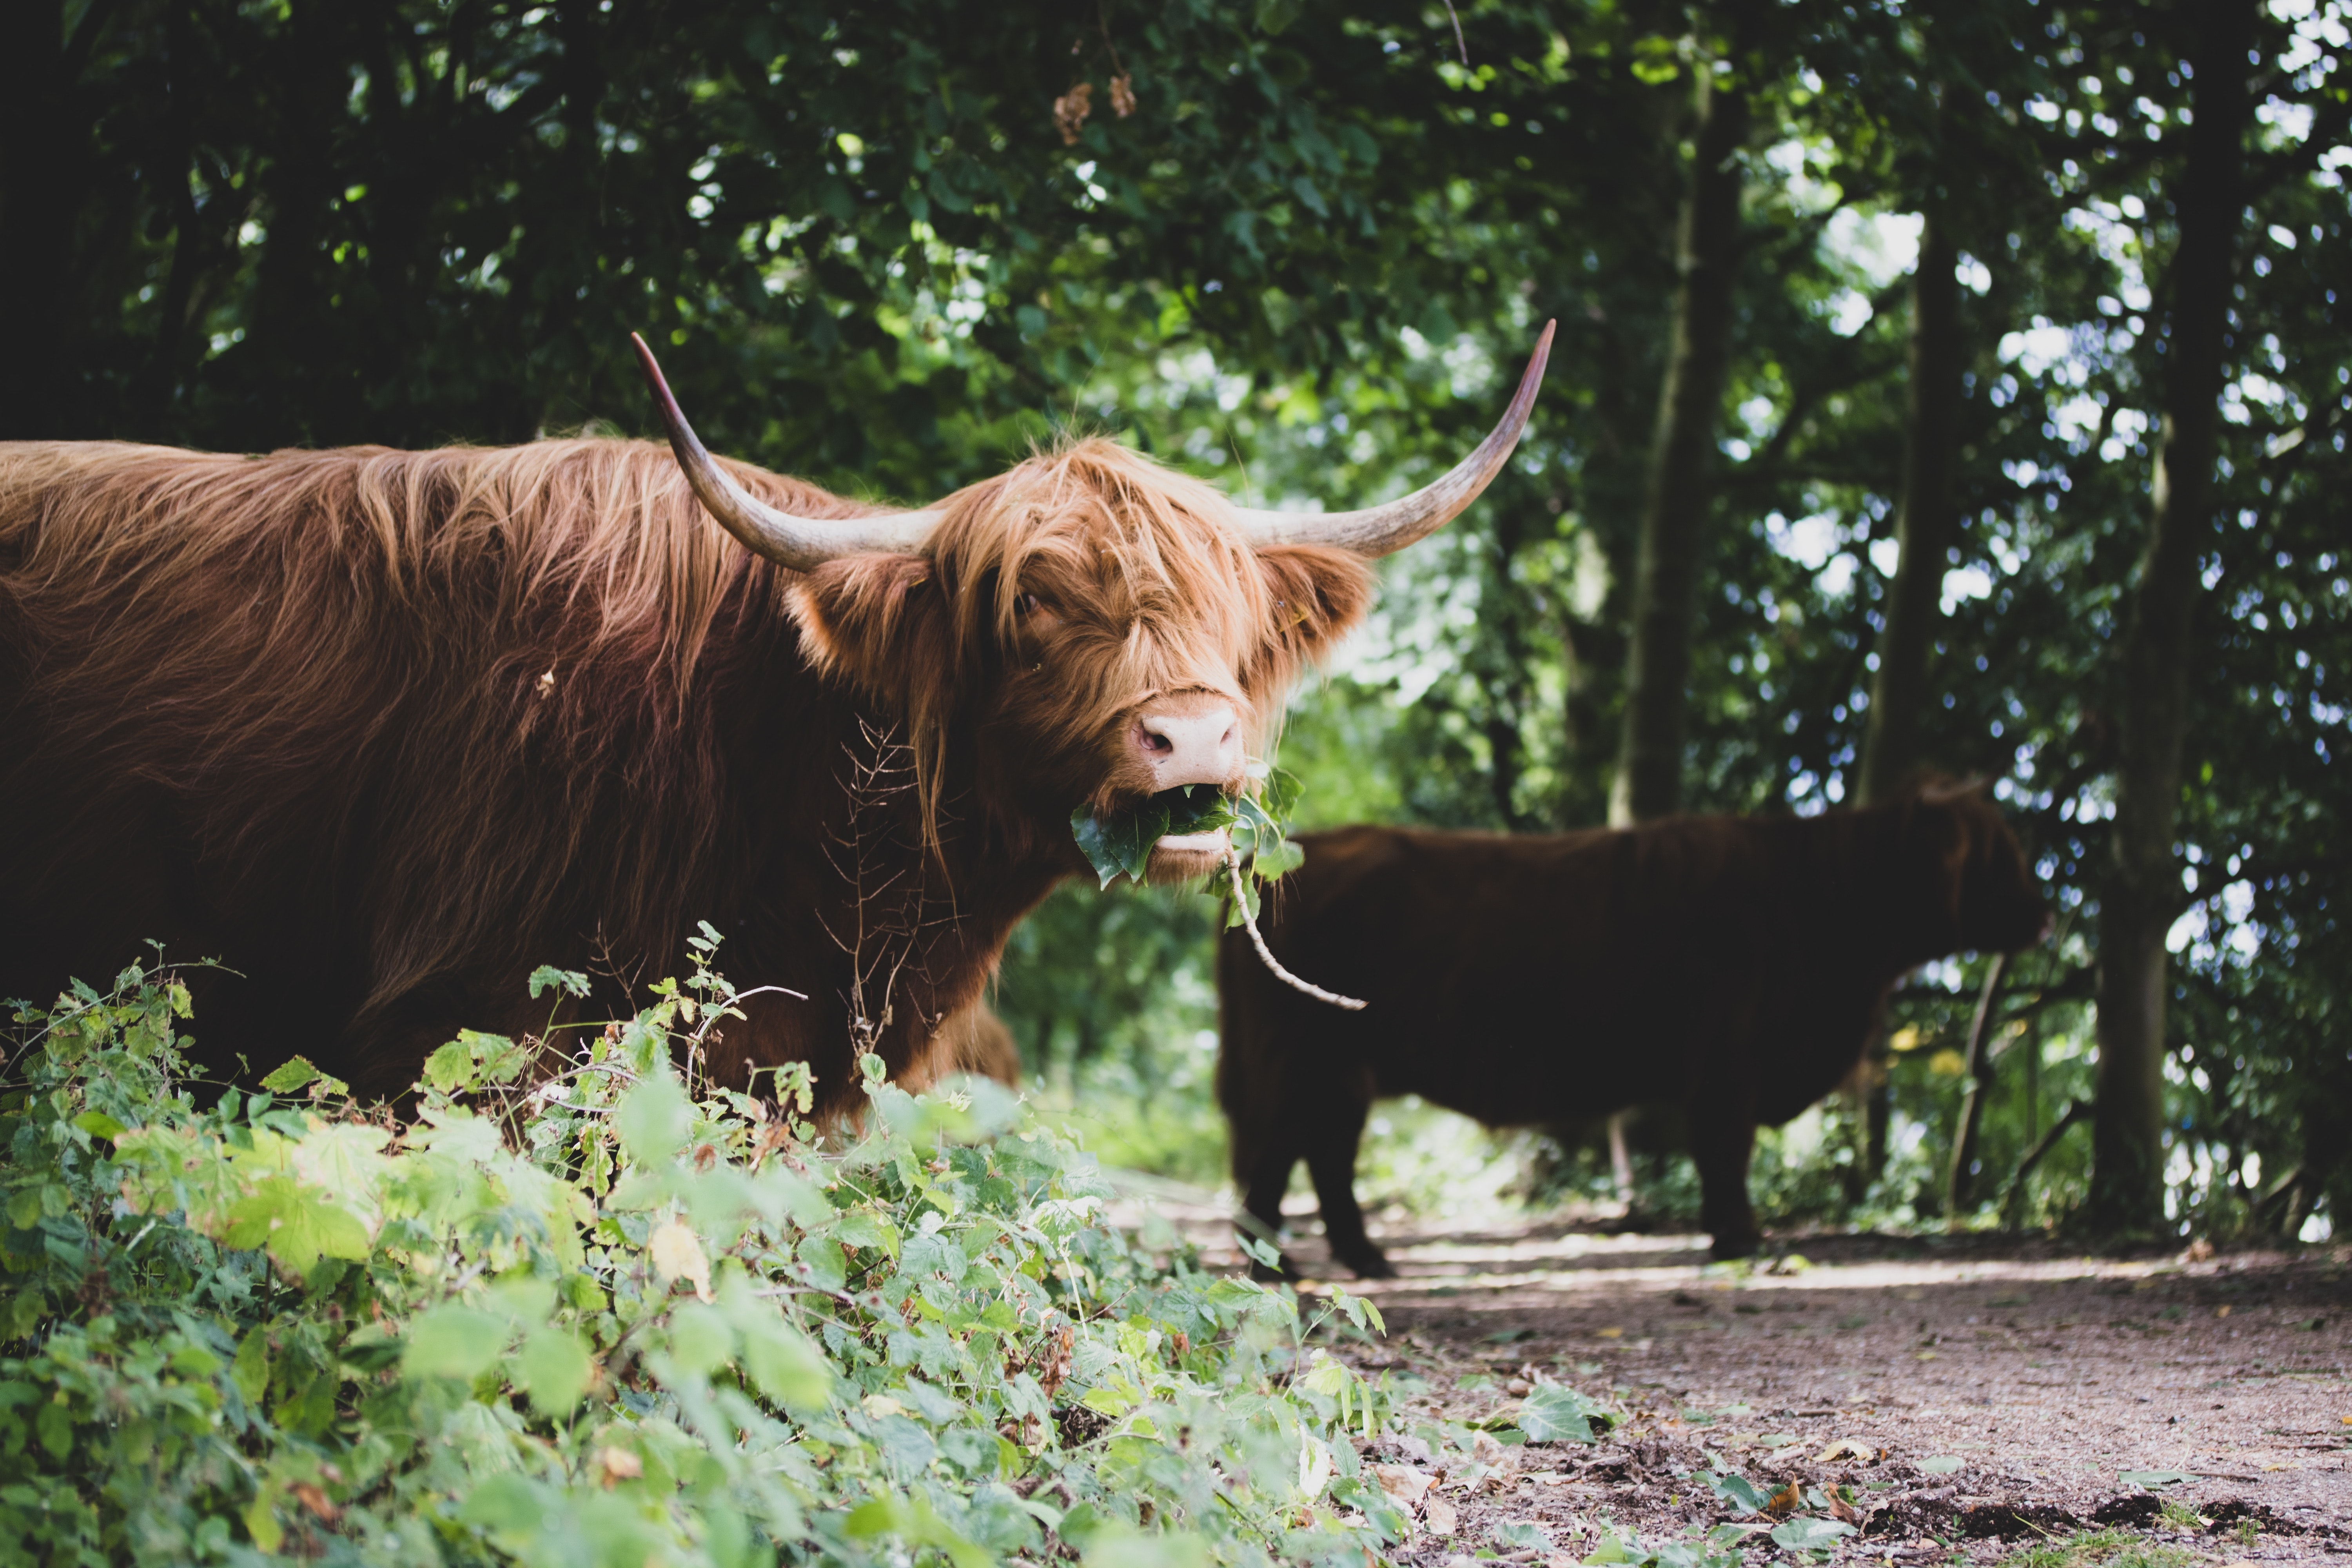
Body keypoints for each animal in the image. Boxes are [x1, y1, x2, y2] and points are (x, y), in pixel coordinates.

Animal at [1223, 789, 2051, 1279]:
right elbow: (1726, 1150)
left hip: (1339, 1069)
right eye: (2000, 857)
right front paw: (1739, 1237)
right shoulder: (1730, 1058)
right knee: (1287, 1153)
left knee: (1323, 1155)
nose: (2045, 915)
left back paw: (1360, 1259)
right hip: (1306, 1057)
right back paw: (1277, 1265)